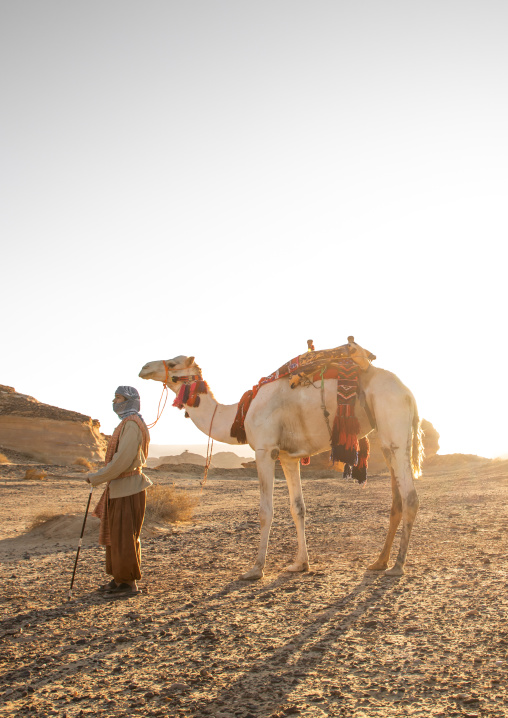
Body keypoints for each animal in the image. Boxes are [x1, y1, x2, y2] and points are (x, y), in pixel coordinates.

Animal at [139, 339, 423, 579]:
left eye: (173, 363)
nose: (144, 367)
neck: (239, 413)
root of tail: (408, 392)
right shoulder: (288, 457)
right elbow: (298, 509)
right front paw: (300, 564)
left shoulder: (265, 450)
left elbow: (266, 511)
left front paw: (255, 568)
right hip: (386, 437)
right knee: (396, 498)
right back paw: (380, 561)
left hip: (393, 423)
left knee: (410, 496)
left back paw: (397, 565)